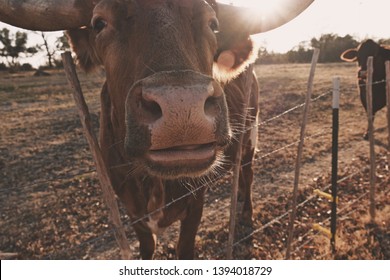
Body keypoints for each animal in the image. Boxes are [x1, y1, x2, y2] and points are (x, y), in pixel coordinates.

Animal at [0, 0, 312, 260]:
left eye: (213, 24)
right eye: (99, 23)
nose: (181, 107)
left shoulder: (195, 203)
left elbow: (184, 249)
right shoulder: (130, 207)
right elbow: (147, 246)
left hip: (250, 136)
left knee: (247, 173)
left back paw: (245, 213)